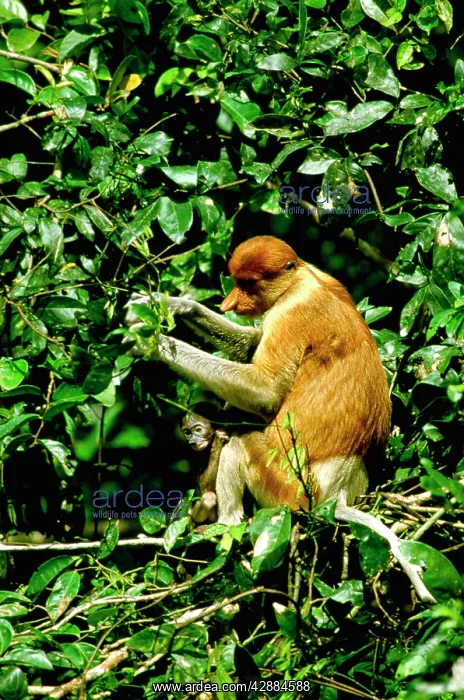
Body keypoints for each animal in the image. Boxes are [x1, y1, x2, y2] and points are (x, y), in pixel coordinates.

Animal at [126, 236, 435, 602]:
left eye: (248, 284)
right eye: (237, 282)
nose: (230, 302)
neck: (300, 280)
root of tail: (335, 494)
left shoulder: (289, 316)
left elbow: (265, 391)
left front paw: (153, 343)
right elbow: (251, 343)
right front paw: (176, 305)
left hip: (287, 489)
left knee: (240, 447)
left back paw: (225, 524)